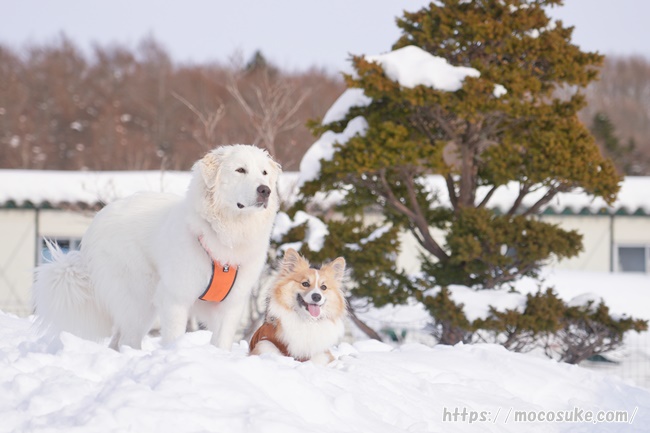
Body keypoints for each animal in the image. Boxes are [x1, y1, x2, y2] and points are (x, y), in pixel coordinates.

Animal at [32, 143, 280, 350]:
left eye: (264, 173)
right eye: (240, 170)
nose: (265, 190)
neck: (225, 234)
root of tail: (98, 219)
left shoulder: (231, 305)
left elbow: (222, 341)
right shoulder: (175, 299)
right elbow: (174, 336)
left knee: (117, 340)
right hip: (139, 299)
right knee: (128, 340)